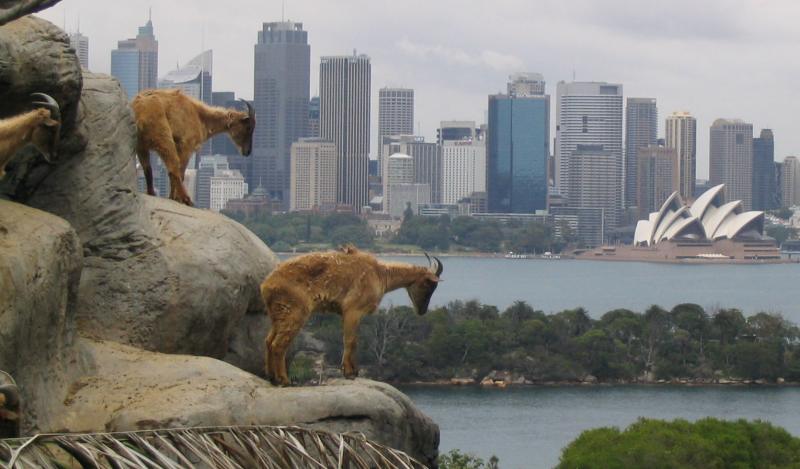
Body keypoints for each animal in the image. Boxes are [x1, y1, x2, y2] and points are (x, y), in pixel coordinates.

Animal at [260, 247, 444, 386]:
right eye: (429, 284)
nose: (422, 310)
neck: (380, 274)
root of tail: (266, 285)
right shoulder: (352, 310)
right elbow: (351, 340)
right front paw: (349, 372)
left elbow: (354, 340)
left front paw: (354, 371)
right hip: (295, 312)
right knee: (278, 345)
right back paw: (283, 380)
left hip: (278, 314)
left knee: (269, 341)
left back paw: (271, 377)